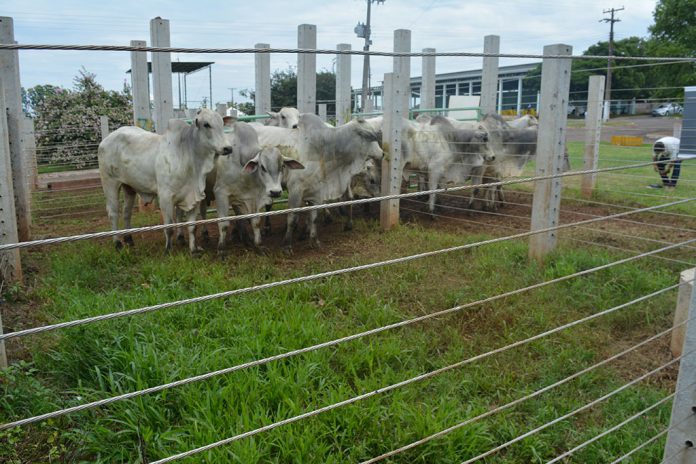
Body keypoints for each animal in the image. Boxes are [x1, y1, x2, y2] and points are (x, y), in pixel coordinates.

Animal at [97, 108, 233, 254]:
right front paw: (168, 250)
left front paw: (193, 250)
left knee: (127, 212)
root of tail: (107, 138)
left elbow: (192, 227)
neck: (187, 155)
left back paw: (129, 239)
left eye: (222, 123)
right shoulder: (165, 198)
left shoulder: (194, 197)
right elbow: (169, 227)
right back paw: (117, 243)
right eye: (206, 124)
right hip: (110, 183)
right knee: (113, 213)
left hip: (129, 188)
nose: (228, 148)